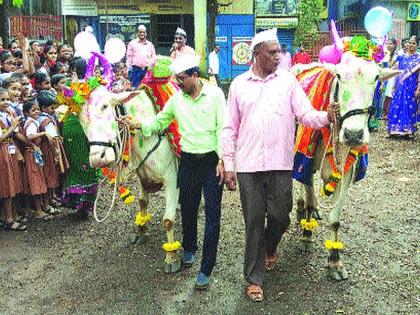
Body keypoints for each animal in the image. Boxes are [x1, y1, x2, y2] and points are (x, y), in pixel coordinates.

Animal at [290, 20, 398, 282]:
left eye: (377, 77)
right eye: (339, 75)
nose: (353, 134)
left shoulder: (349, 172)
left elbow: (336, 219)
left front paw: (335, 261)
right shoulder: (307, 159)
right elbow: (308, 193)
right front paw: (307, 236)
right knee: (298, 184)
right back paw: (301, 209)